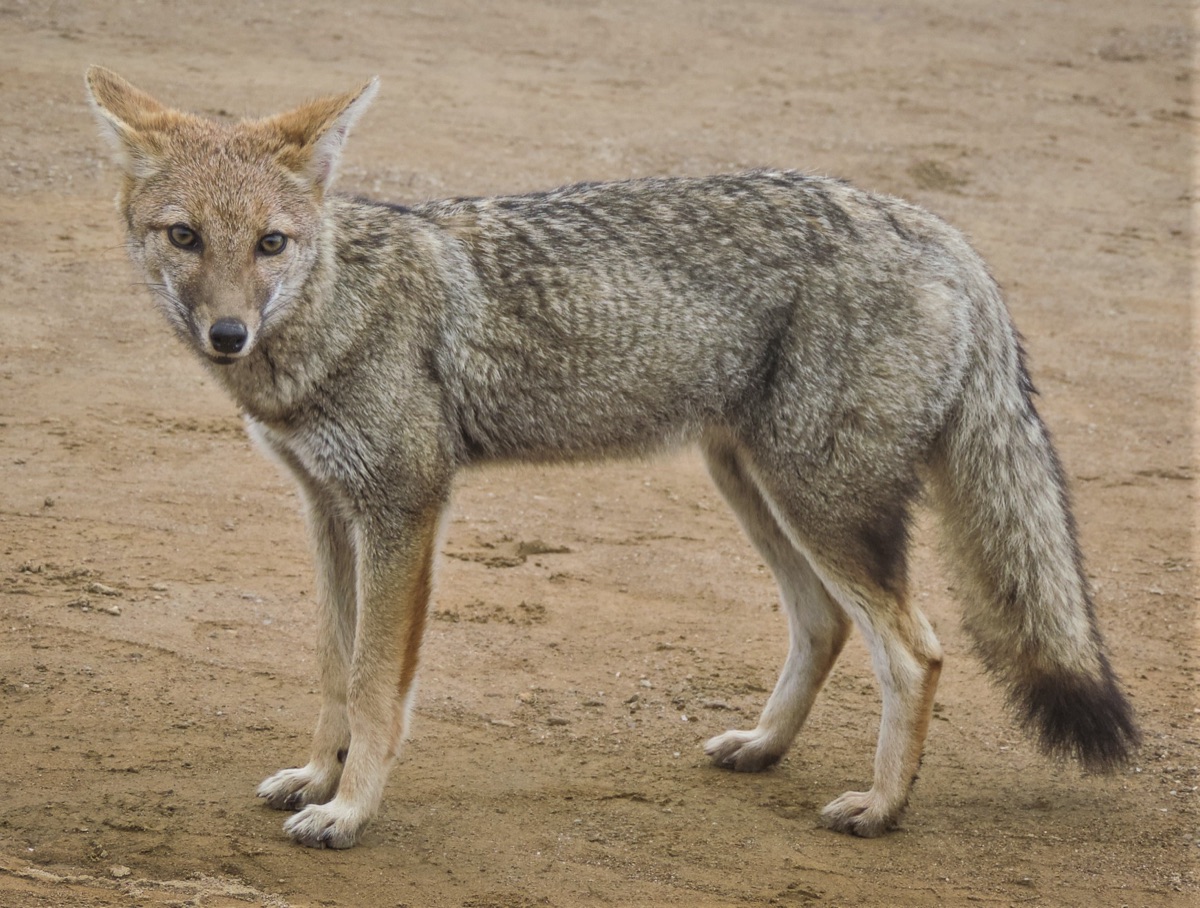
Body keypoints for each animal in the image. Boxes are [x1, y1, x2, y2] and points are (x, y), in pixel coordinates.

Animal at [85, 67, 1139, 849]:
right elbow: (332, 667)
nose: (227, 334)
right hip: (756, 489)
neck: (338, 314)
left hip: (819, 504)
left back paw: (880, 809)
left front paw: (348, 811)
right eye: (185, 237)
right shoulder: (327, 511)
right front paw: (316, 774)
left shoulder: (404, 509)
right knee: (825, 623)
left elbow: (378, 683)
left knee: (914, 651)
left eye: (271, 243)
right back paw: (764, 747)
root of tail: (937, 229)